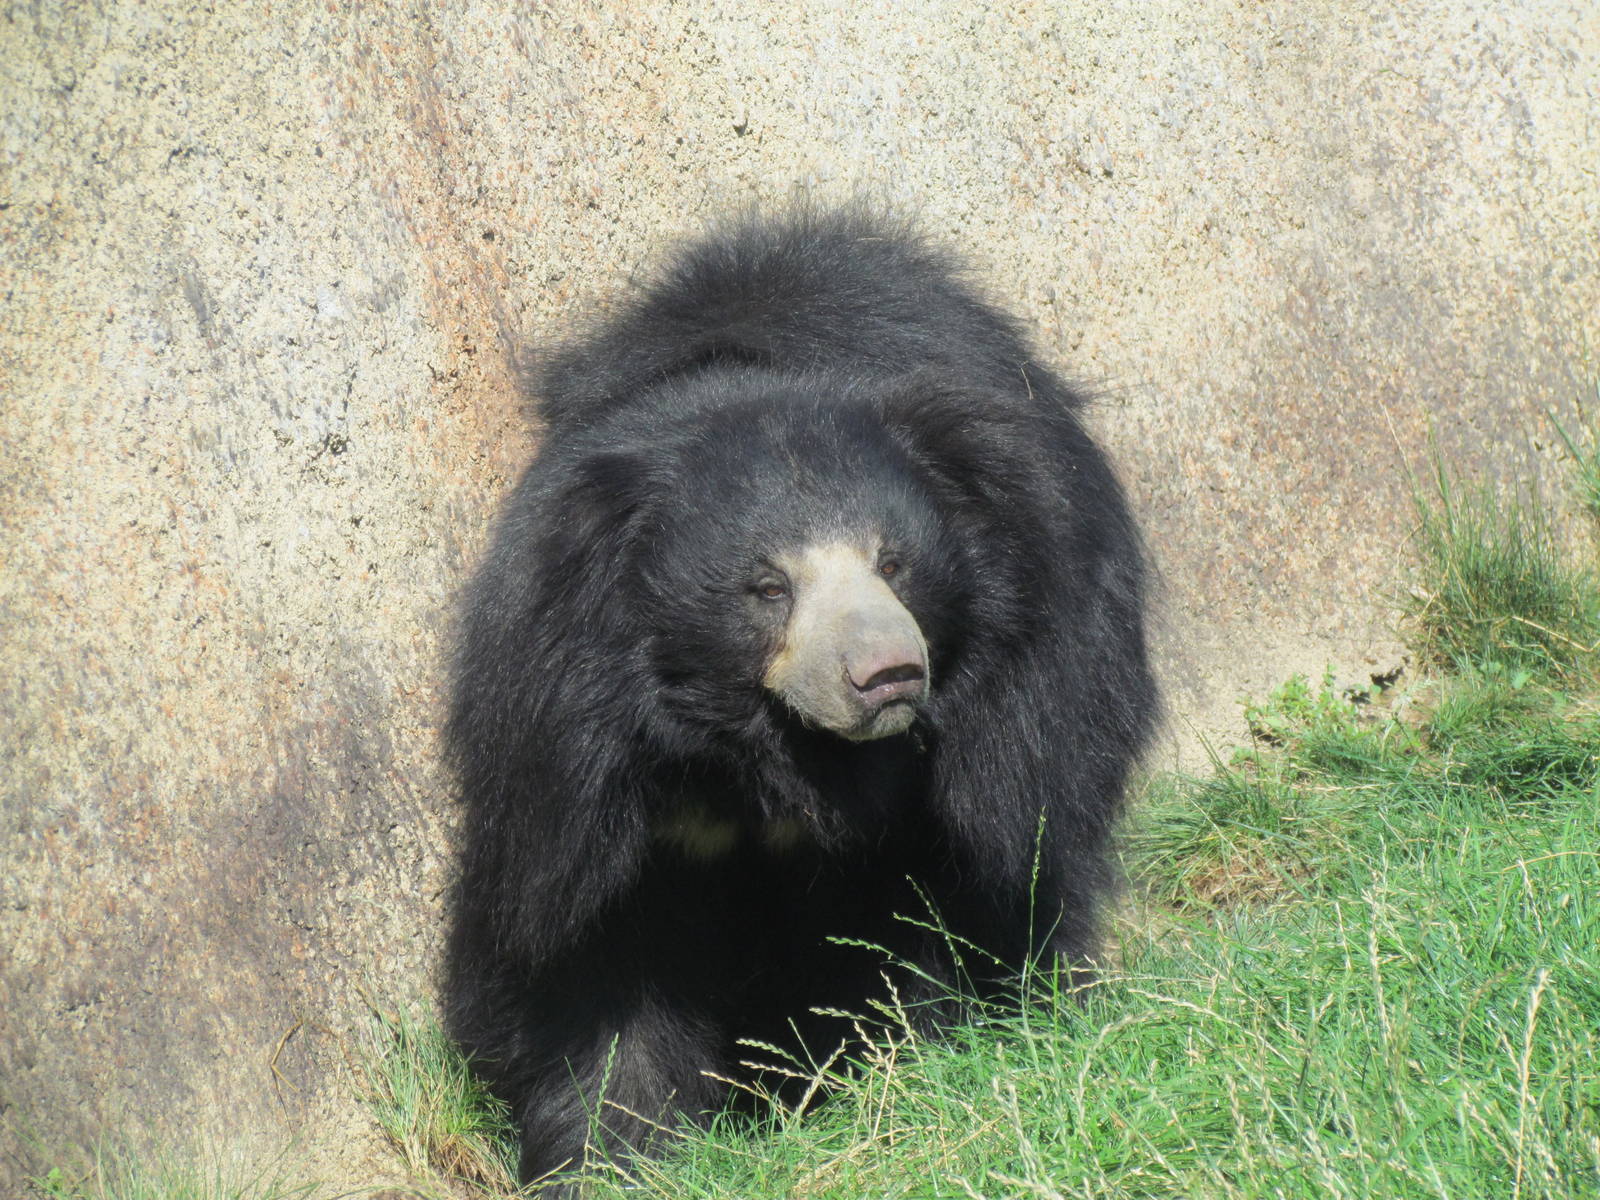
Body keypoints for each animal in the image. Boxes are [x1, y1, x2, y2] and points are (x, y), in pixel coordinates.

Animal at [444, 206, 1157, 1191]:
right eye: (767, 587)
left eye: (894, 561)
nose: (889, 673)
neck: (768, 750)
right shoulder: (580, 750)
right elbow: (592, 949)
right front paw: (612, 1155)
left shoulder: (986, 727)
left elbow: (933, 914)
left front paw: (908, 1082)